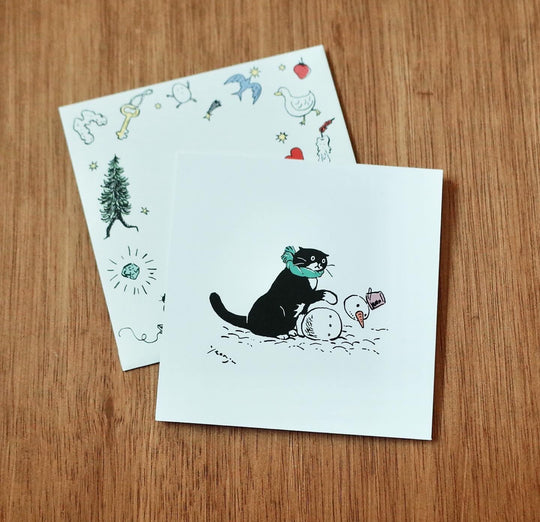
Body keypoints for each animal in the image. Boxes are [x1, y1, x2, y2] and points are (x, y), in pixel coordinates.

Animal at [209, 247, 338, 338]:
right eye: (312, 258)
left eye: (323, 260)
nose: (320, 264)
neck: (308, 276)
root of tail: (248, 320)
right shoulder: (302, 295)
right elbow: (320, 293)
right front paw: (333, 298)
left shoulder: (305, 305)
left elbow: (301, 316)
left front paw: (301, 332)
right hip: (276, 310)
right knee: (262, 331)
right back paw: (281, 334)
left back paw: (290, 332)